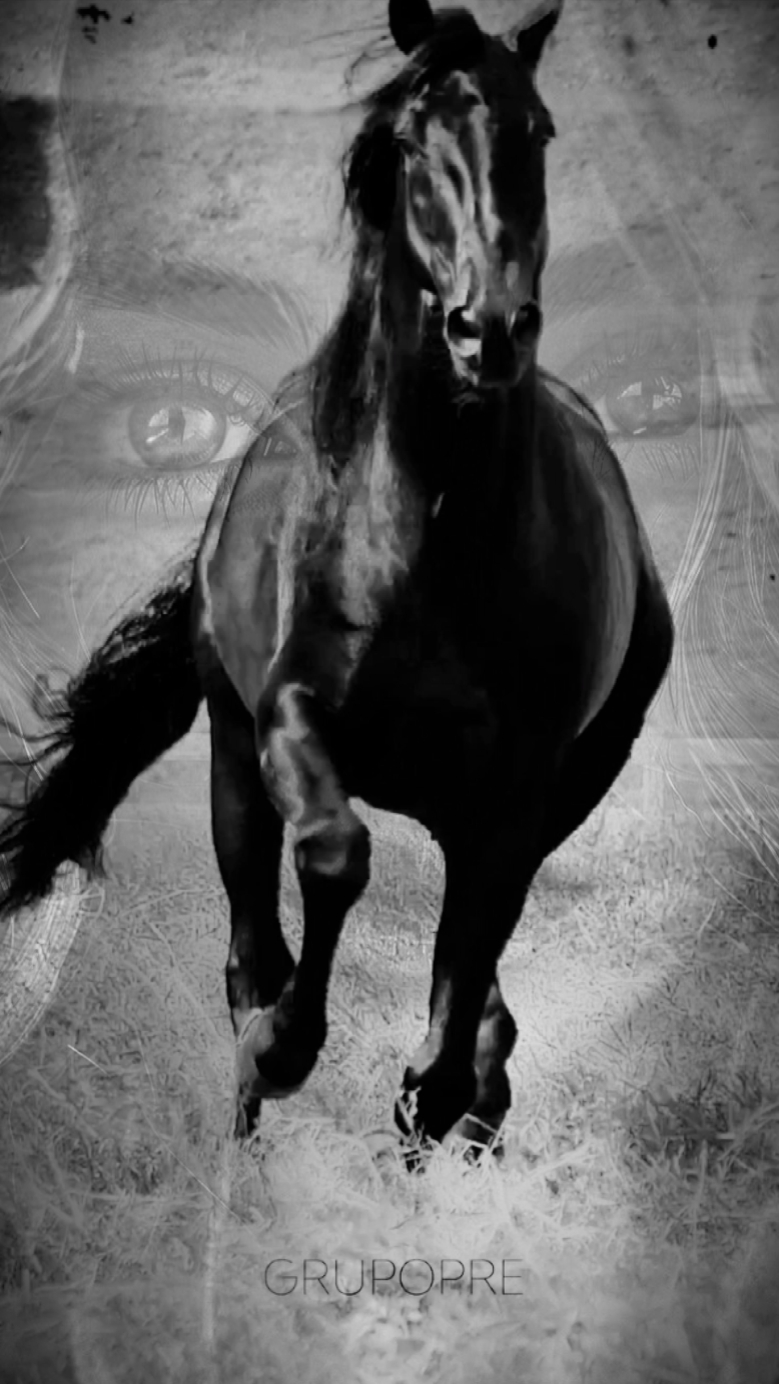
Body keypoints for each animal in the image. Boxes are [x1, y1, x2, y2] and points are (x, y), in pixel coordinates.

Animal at [0, 0, 674, 1158]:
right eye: (410, 140)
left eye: (535, 130)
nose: (487, 330)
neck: (429, 538)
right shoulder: (288, 715)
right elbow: (332, 854)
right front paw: (285, 1046)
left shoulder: (520, 783)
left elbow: (476, 932)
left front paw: (442, 1091)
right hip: (232, 748)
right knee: (250, 926)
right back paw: (256, 1064)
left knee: (478, 923)